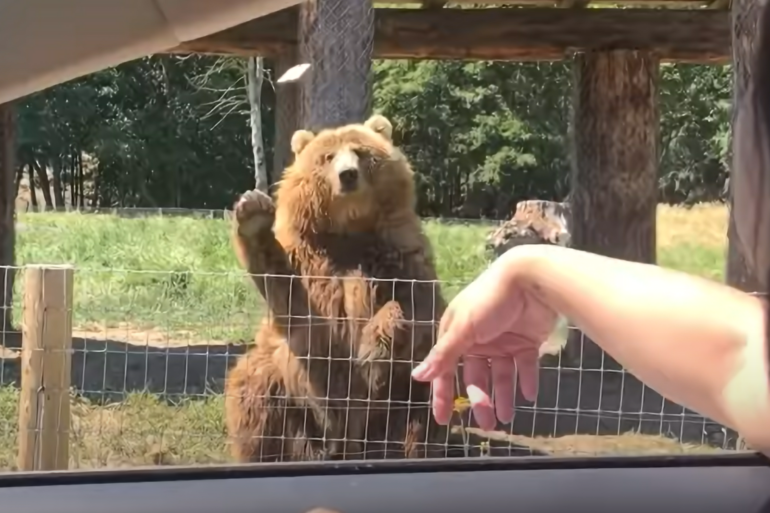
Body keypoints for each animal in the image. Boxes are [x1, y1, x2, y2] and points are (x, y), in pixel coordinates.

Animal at [224, 114, 536, 463]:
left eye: (360, 152)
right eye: (328, 157)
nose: (347, 175)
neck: (350, 233)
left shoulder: (400, 256)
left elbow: (415, 308)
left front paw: (377, 343)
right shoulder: (310, 265)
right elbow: (293, 305)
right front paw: (253, 213)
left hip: (399, 402)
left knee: (426, 402)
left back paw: (409, 450)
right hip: (288, 396)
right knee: (256, 389)